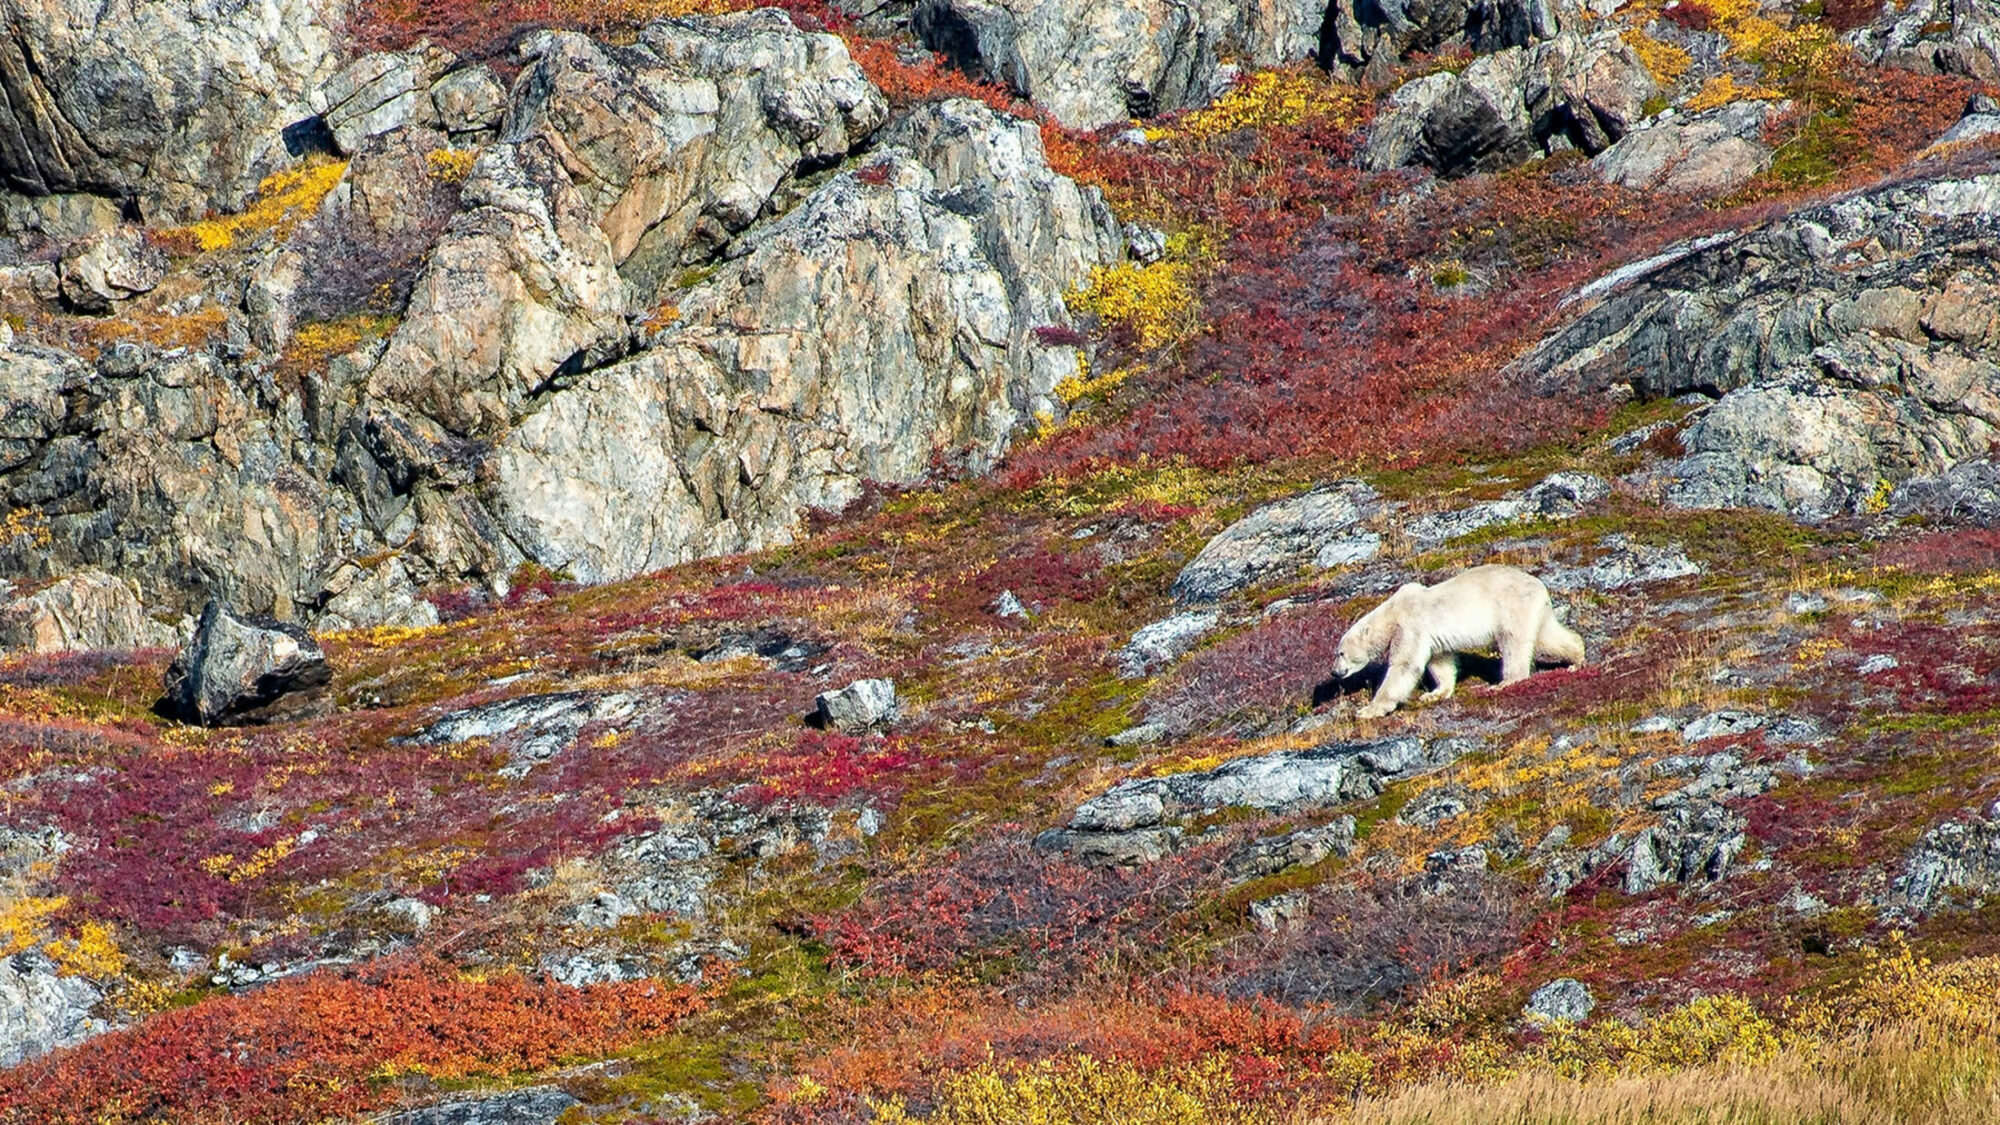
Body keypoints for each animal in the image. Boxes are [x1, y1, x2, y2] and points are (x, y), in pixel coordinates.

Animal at [1330, 564, 1585, 719]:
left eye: (1340, 653)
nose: (1334, 671)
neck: (1392, 613)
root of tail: (1540, 586)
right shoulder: (1430, 638)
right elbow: (1439, 661)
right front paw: (1434, 693)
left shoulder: (1410, 626)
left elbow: (1404, 665)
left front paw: (1368, 710)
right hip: (1534, 609)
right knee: (1548, 636)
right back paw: (1577, 658)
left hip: (1511, 606)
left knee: (1514, 643)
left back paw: (1506, 681)